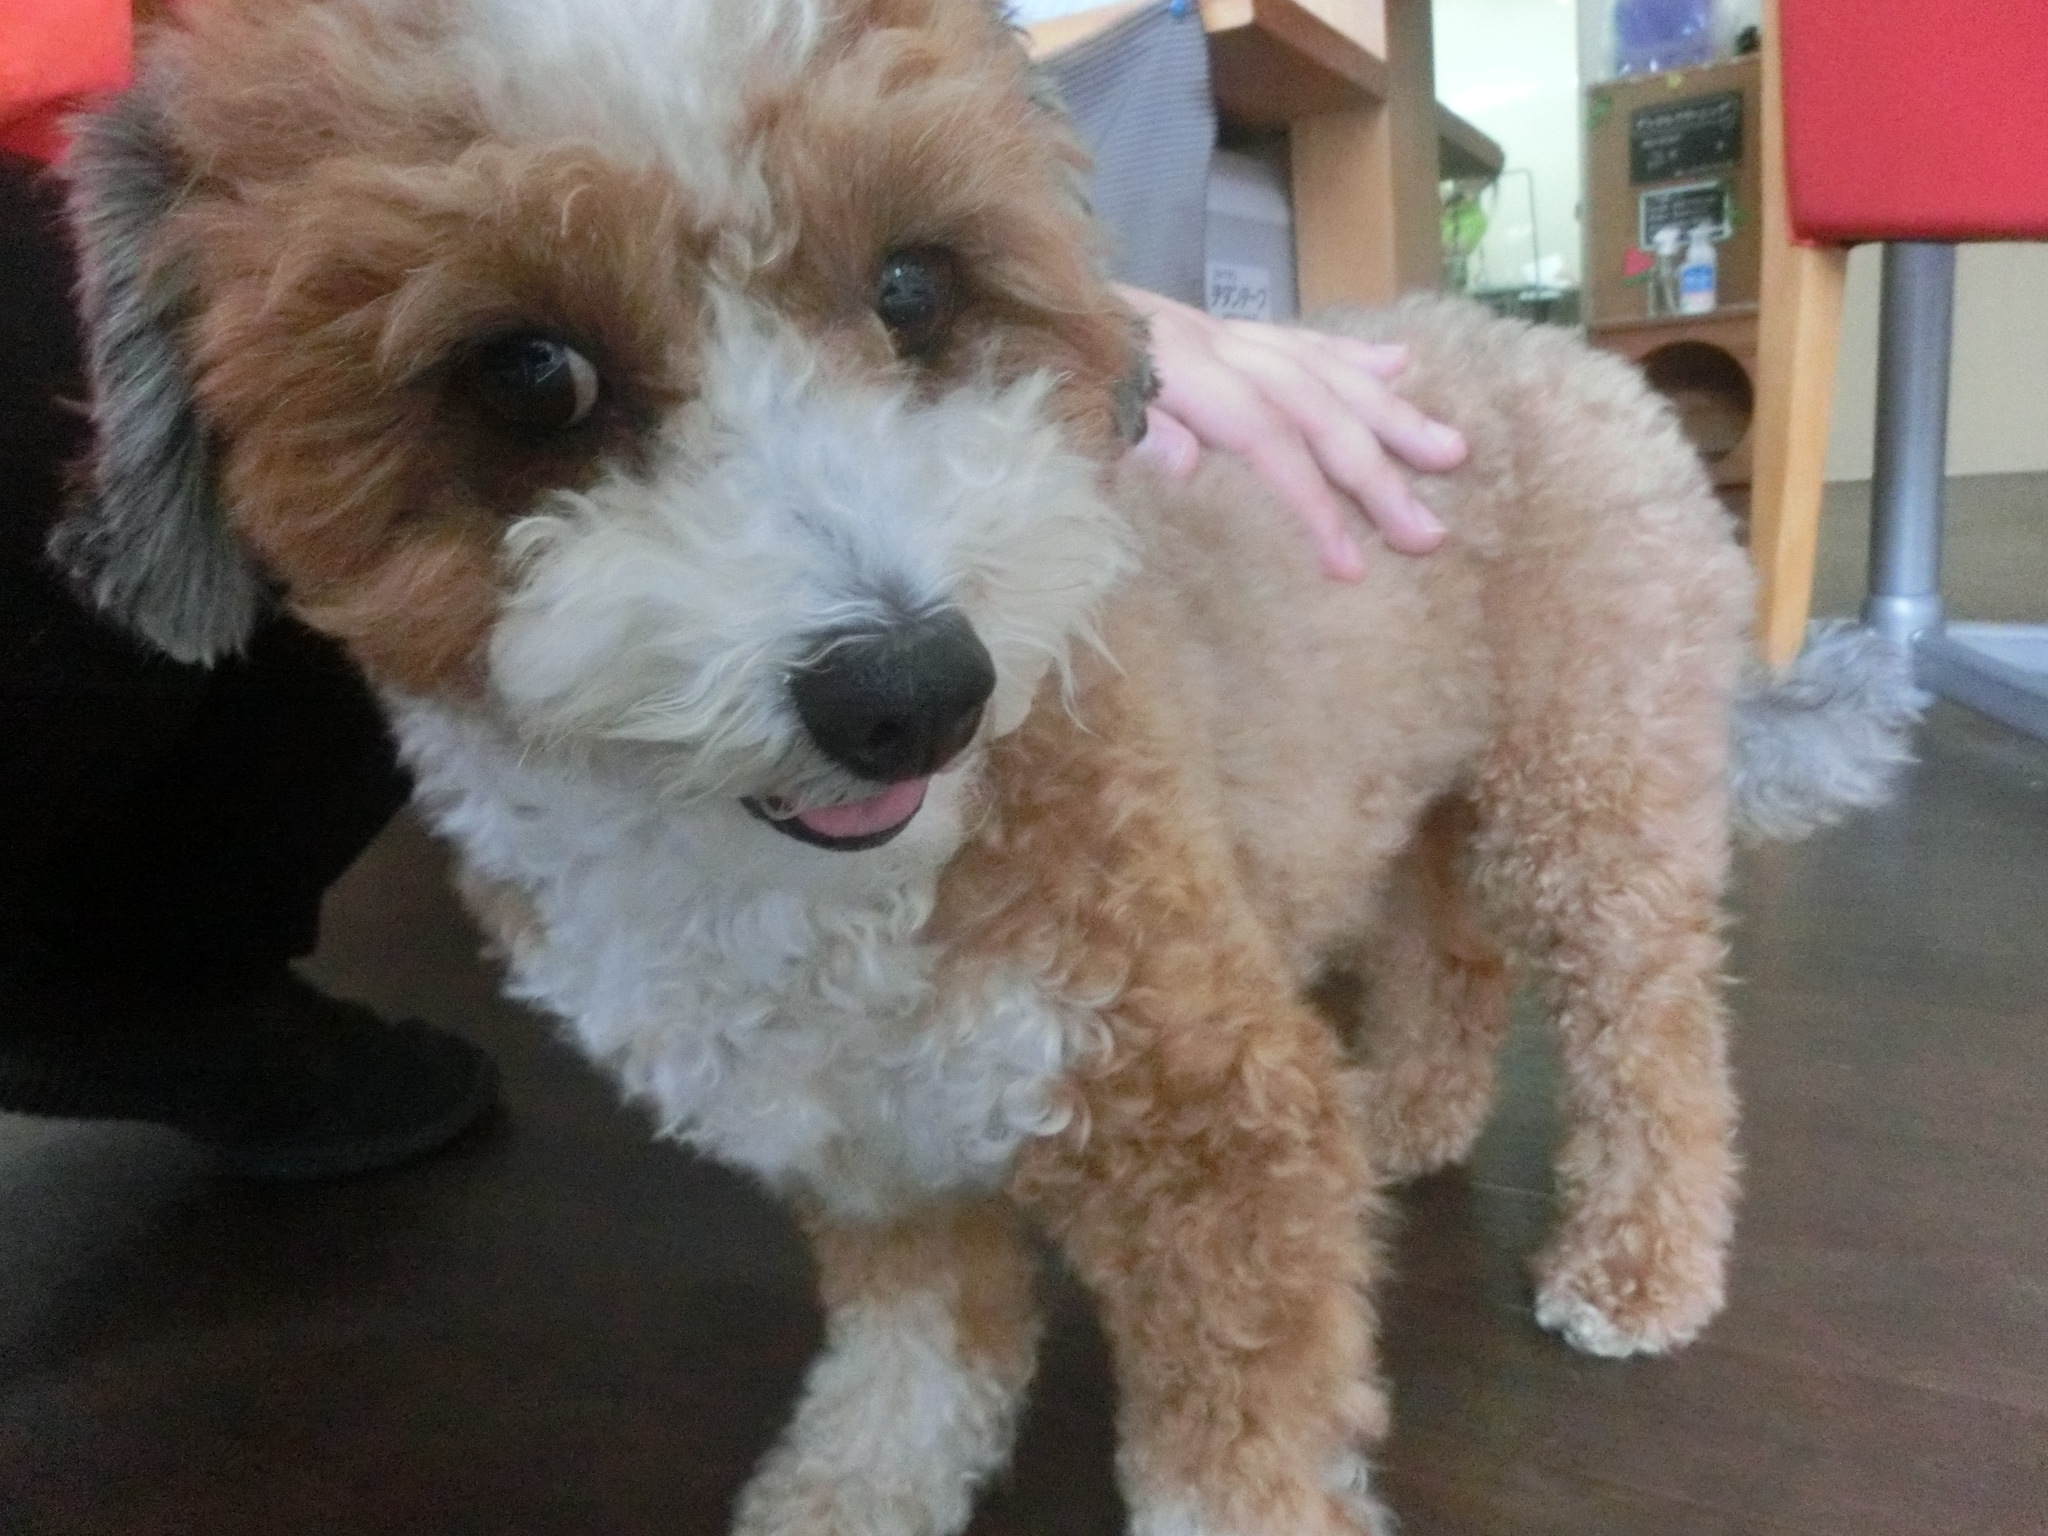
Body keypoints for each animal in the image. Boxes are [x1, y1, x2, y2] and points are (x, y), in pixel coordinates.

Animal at [53, 1, 1920, 1531]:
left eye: (913, 284)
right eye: (528, 374)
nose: (909, 691)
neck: (809, 892)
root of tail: (1557, 351)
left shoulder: (1215, 1131)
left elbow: (1232, 1454)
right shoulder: (858, 1148)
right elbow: (912, 1354)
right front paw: (856, 1491)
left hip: (1585, 798)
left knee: (1649, 1038)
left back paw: (1637, 1259)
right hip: (1416, 798)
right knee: (1446, 958)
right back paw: (1409, 1109)